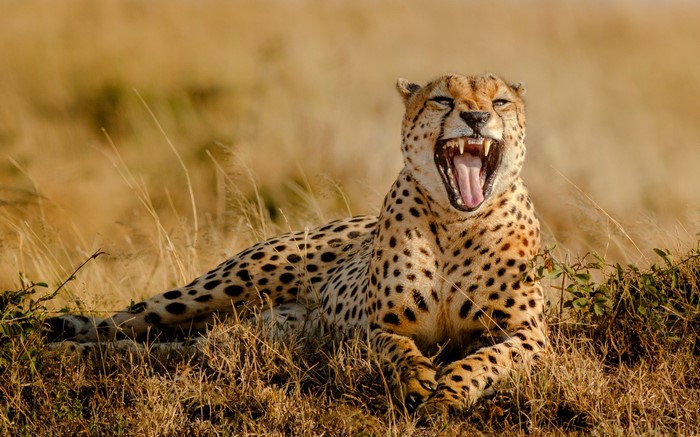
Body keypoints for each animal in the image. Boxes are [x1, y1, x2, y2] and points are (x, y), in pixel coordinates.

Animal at [45, 73, 546, 414]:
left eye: (500, 100)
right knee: (129, 320)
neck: (458, 221)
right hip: (226, 286)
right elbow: (400, 350)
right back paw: (54, 340)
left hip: (244, 338)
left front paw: (449, 391)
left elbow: (487, 358)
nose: (476, 117)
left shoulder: (531, 335)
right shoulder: (379, 328)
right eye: (443, 99)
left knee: (164, 349)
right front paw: (419, 379)